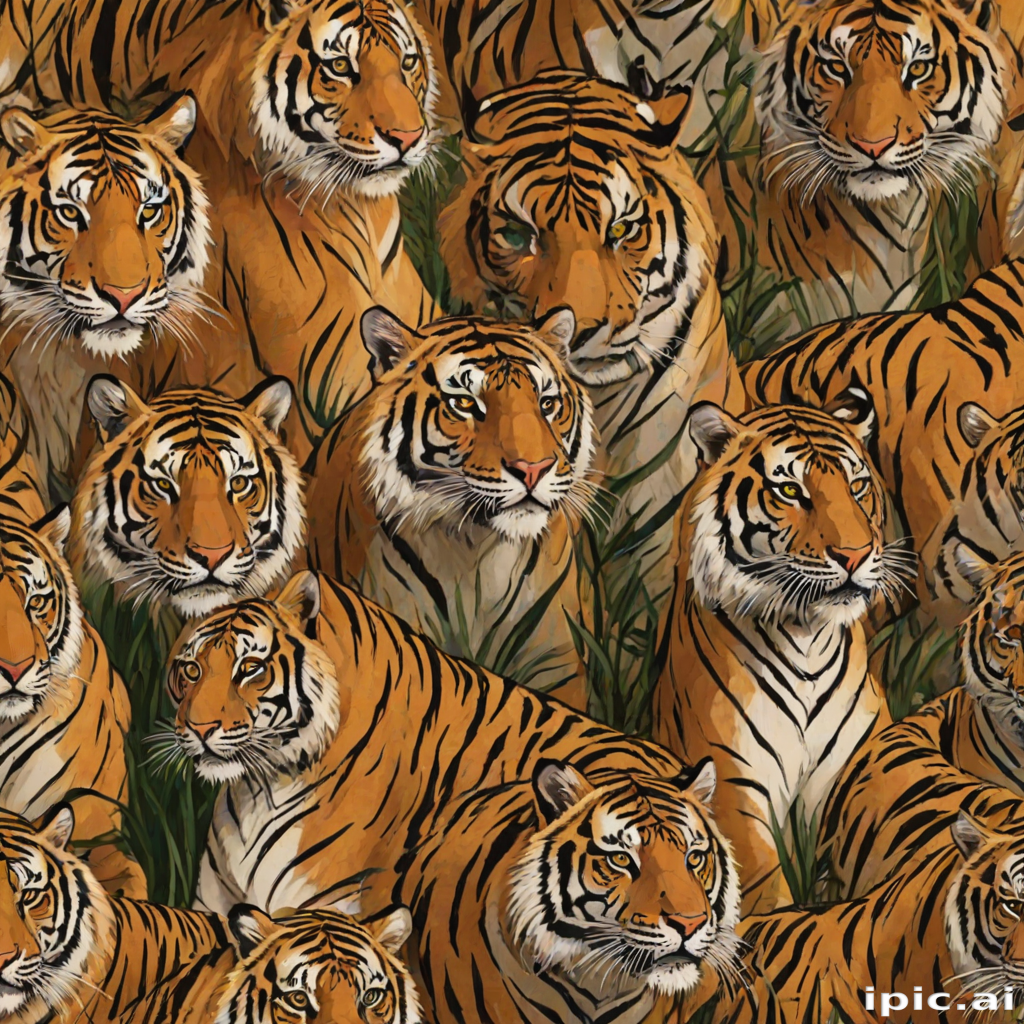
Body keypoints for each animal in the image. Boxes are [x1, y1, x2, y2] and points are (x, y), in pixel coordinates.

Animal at [652, 399, 917, 915]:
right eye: (791, 491)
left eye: (856, 486)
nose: (855, 555)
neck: (806, 637)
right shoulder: (735, 784)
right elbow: (766, 887)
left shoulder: (858, 766)